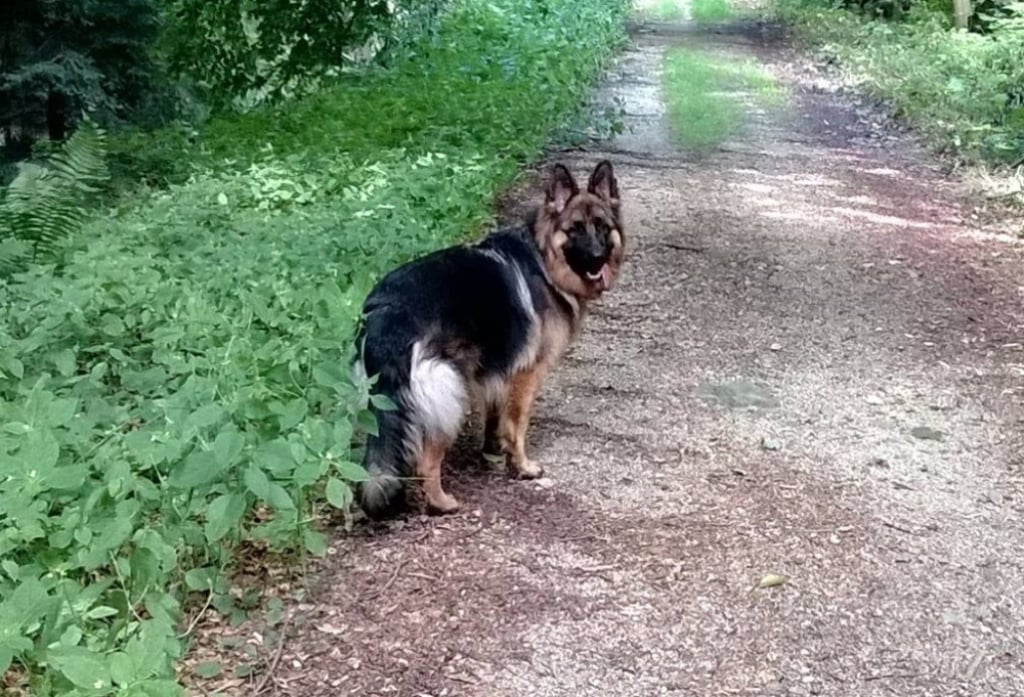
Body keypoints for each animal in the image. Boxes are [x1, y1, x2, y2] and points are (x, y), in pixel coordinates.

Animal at [352, 157, 622, 515]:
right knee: (427, 458)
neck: (545, 260)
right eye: (575, 229)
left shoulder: (500, 371)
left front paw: (492, 453)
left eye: (602, 227)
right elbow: (517, 425)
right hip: (449, 393)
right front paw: (522, 467)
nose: (597, 258)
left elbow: (496, 418)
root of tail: (385, 312)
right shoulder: (527, 374)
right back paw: (442, 502)